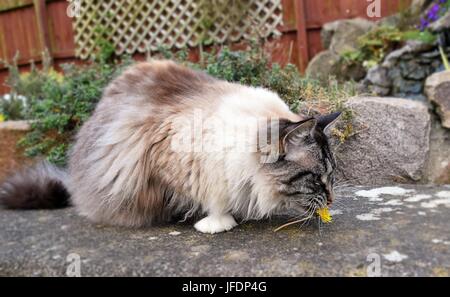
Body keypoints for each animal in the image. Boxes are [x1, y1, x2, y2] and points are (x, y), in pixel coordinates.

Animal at [0, 60, 342, 232]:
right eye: (316, 179)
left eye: (332, 177)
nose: (331, 199)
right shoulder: (174, 160)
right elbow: (212, 197)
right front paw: (218, 223)